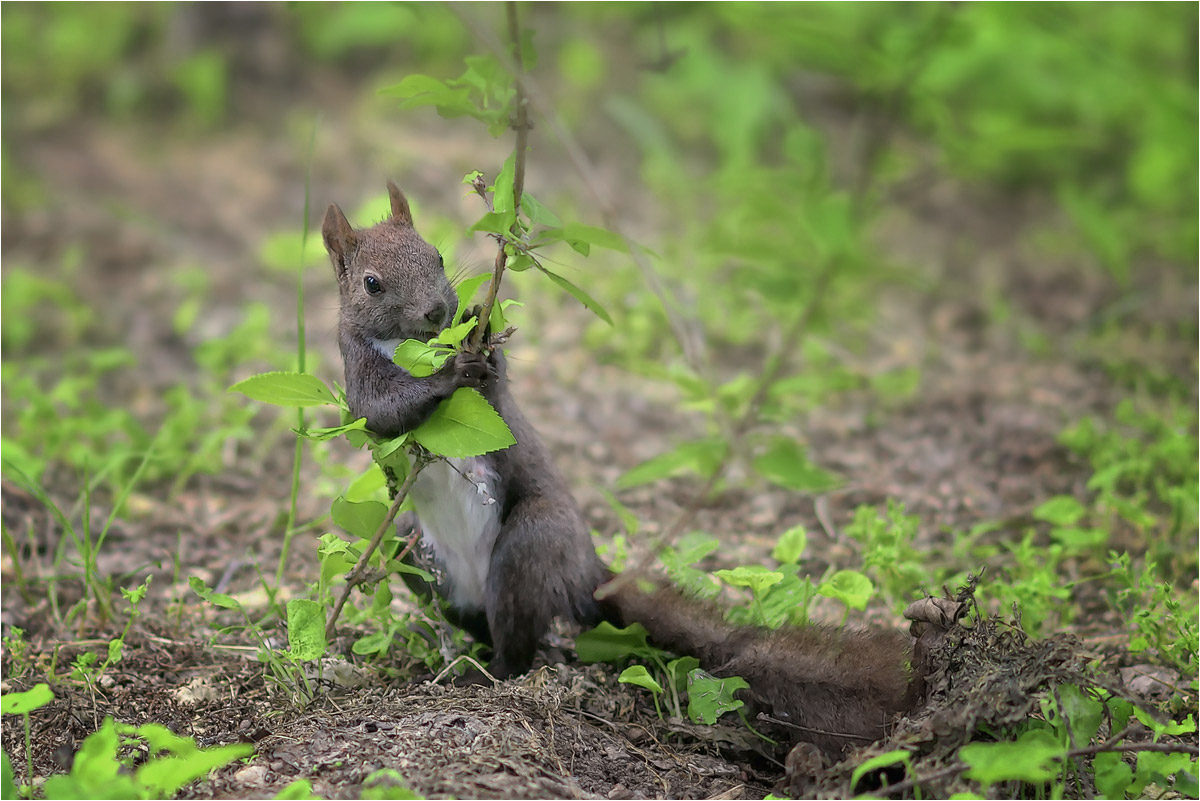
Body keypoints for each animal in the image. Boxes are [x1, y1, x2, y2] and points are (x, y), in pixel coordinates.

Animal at [319, 181, 916, 757]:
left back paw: (487, 672)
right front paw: (445, 375)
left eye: (438, 256)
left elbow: (495, 383)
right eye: (371, 284)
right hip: (412, 553)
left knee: (518, 639)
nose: (436, 313)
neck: (412, 347)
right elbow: (383, 412)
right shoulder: (356, 373)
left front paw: (474, 340)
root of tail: (586, 574)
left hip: (532, 542)